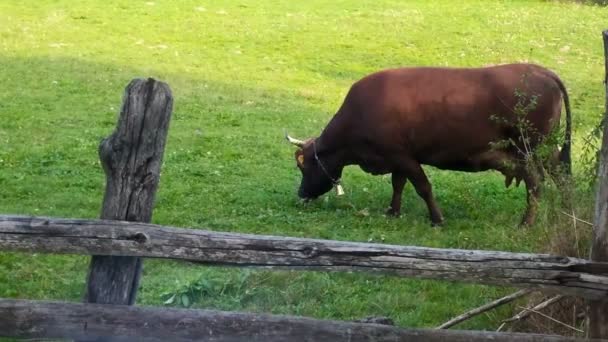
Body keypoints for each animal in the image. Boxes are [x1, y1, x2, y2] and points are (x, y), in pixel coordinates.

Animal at [284, 62, 568, 226]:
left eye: (303, 167)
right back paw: (569, 211)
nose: (301, 194)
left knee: (536, 183)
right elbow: (398, 184)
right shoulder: (398, 158)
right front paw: (393, 211)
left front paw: (437, 219)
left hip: (528, 149)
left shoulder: (403, 157)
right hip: (546, 148)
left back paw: (527, 222)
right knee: (561, 175)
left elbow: (423, 187)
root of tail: (541, 70)